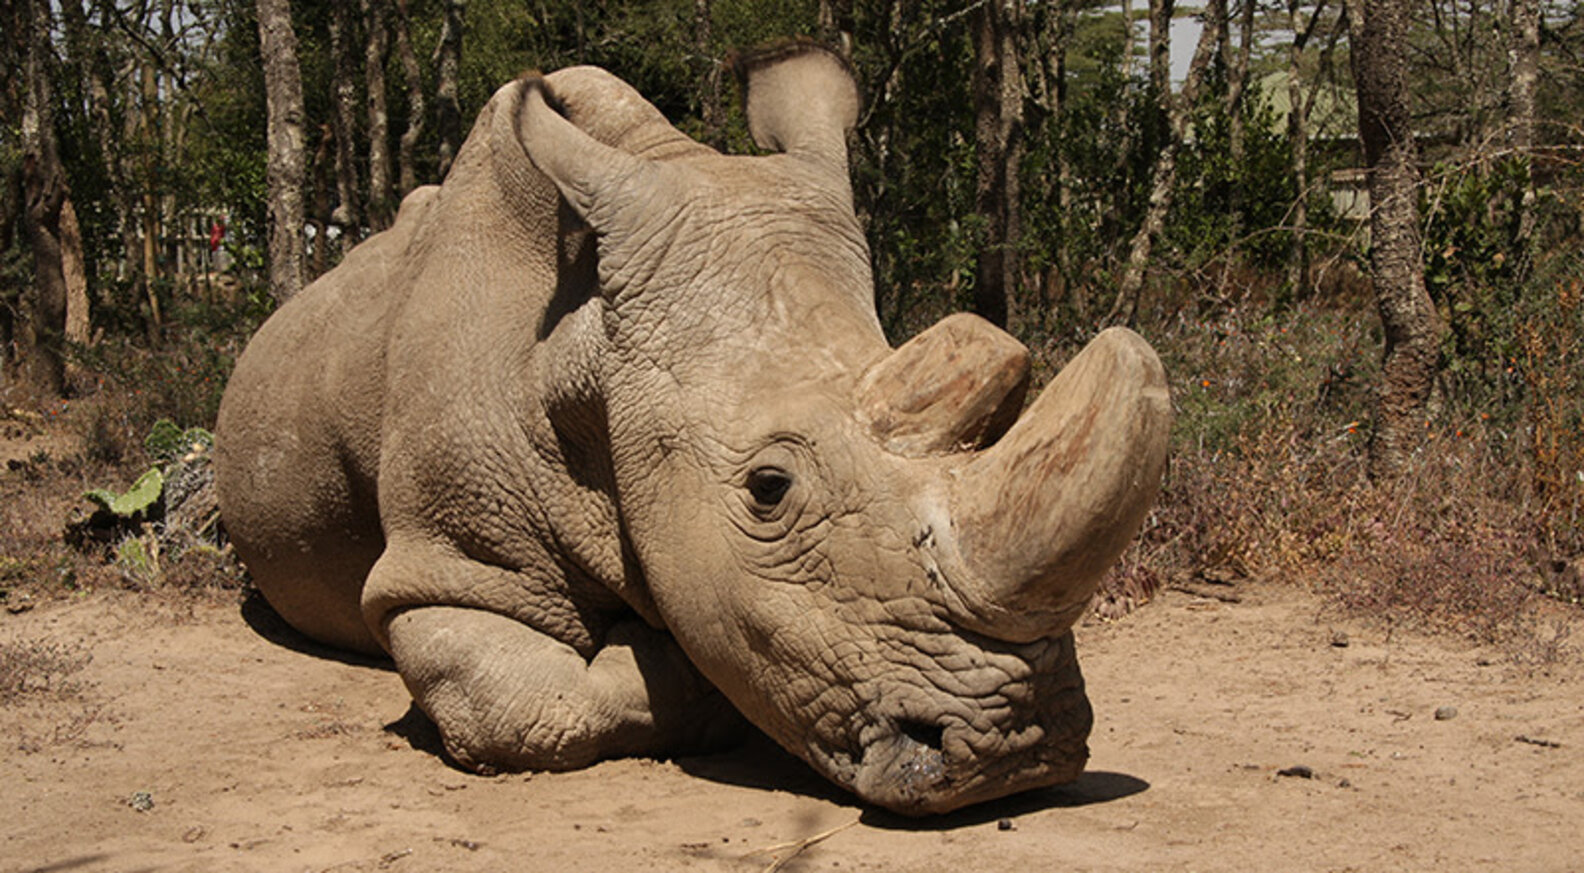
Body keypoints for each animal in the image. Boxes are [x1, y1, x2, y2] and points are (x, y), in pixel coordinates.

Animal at [215, 43, 1170, 816]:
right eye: (768, 489)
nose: (1021, 751)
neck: (587, 358)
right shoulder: (447, 567)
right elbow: (522, 709)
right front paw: (658, 654)